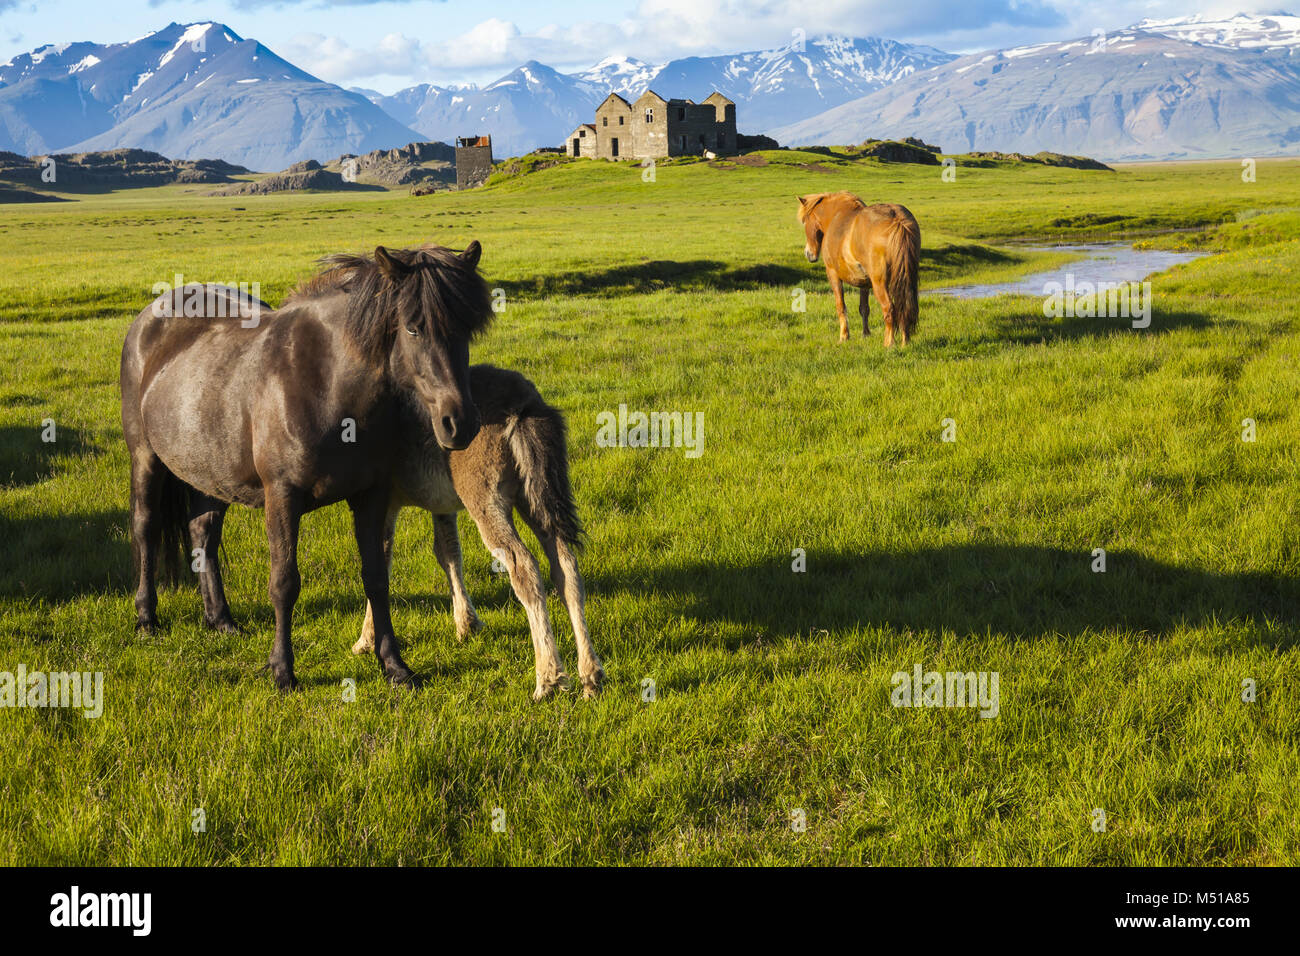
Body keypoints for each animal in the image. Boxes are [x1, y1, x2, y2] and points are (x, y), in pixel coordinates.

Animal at [119, 242, 493, 690]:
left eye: (466, 329)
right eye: (413, 328)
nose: (461, 423)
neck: (326, 384)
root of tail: (150, 317)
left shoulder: (372, 495)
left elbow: (376, 578)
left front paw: (394, 666)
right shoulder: (282, 497)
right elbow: (284, 582)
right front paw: (282, 670)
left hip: (210, 473)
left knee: (202, 533)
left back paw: (221, 620)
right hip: (146, 459)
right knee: (146, 528)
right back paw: (146, 618)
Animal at [350, 365, 604, 700]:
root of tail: (525, 405)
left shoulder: (378, 501)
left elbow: (379, 566)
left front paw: (366, 640)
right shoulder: (441, 502)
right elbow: (447, 552)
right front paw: (467, 624)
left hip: (484, 496)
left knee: (523, 566)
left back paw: (548, 679)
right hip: (533, 495)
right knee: (566, 565)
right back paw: (590, 676)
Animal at [796, 192, 920, 346]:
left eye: (805, 221)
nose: (808, 254)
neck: (835, 217)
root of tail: (897, 220)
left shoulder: (833, 275)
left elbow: (841, 307)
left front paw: (844, 336)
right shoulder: (864, 283)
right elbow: (864, 308)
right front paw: (865, 334)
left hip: (879, 283)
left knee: (889, 308)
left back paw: (889, 343)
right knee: (905, 306)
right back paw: (905, 342)